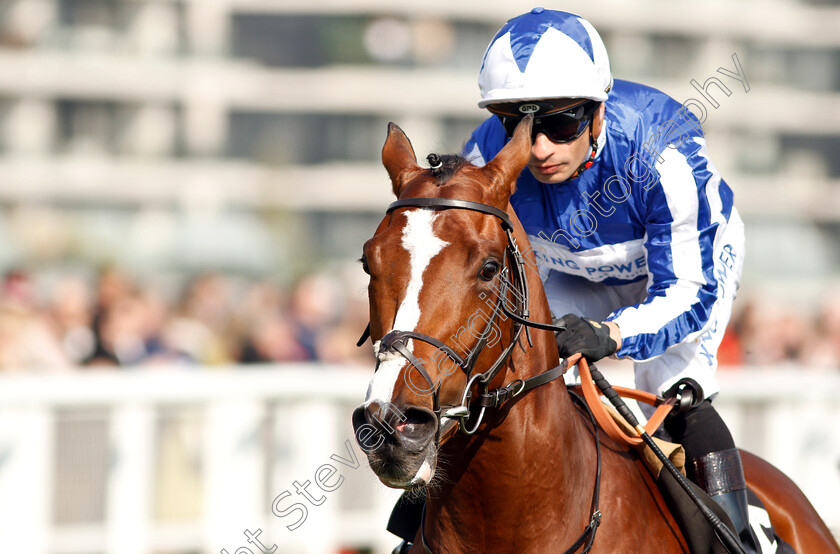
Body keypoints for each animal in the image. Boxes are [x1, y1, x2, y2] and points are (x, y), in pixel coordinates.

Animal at [350, 114, 840, 548]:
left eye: (489, 267)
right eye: (368, 262)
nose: (392, 425)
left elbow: (685, 286)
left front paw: (588, 336)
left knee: (685, 393)